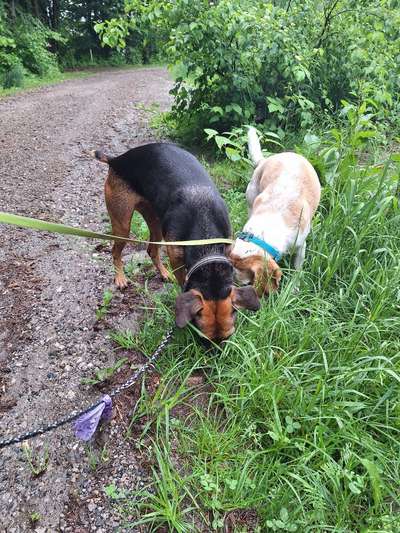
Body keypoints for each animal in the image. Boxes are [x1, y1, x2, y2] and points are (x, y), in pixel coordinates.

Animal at [92, 142, 258, 340]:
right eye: (202, 339)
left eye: (228, 337)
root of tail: (117, 159)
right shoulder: (177, 260)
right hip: (122, 225)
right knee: (115, 251)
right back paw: (120, 278)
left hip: (155, 222)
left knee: (151, 250)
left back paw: (164, 273)